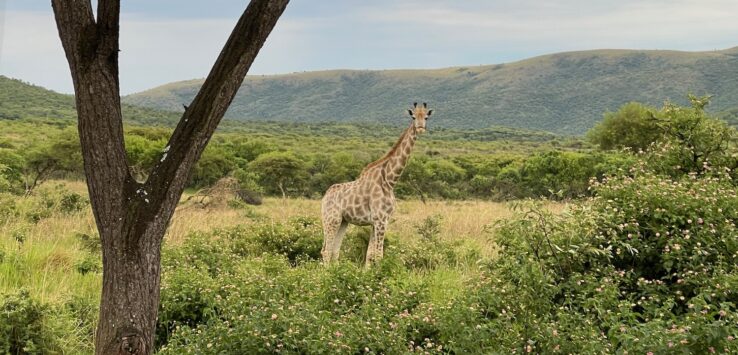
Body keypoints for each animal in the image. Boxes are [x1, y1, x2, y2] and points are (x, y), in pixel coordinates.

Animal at [320, 101, 432, 266]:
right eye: (413, 116)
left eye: (426, 117)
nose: (420, 128)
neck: (390, 180)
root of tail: (324, 197)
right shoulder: (380, 220)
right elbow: (379, 255)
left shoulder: (378, 221)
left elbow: (370, 254)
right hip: (331, 219)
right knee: (326, 251)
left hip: (343, 221)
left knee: (334, 251)